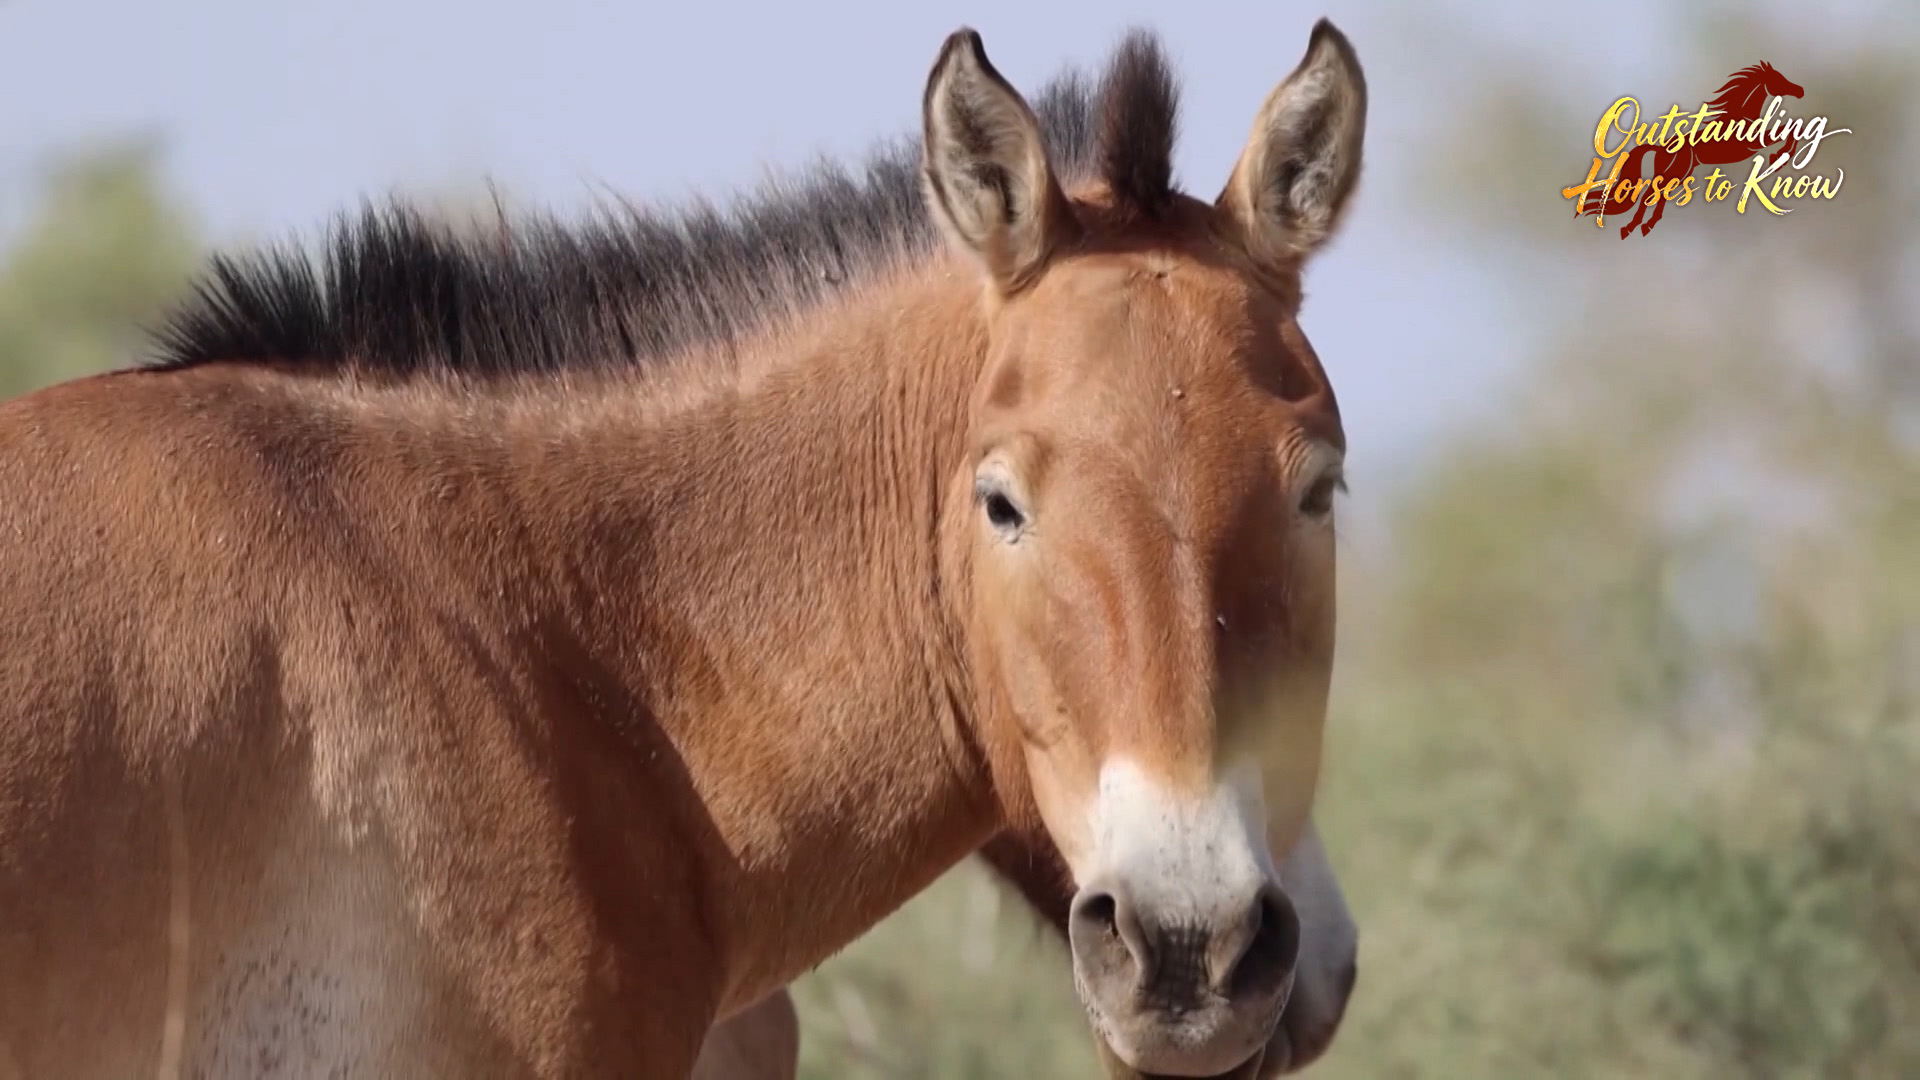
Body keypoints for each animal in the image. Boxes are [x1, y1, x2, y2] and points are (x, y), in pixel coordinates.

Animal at [1578, 61, 1805, 238]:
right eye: (1778, 79)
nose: (1800, 91)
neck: (1741, 115)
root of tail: (1660, 148)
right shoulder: (1753, 142)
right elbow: (1788, 129)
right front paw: (1779, 156)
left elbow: (1792, 128)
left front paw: (1781, 155)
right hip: (1673, 173)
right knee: (1648, 195)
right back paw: (1632, 227)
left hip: (1678, 174)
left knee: (1658, 195)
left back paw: (1646, 225)